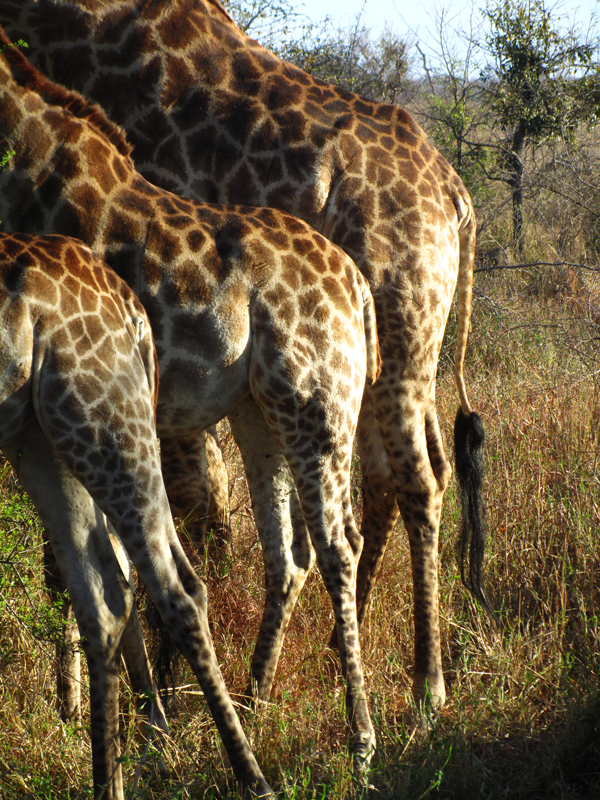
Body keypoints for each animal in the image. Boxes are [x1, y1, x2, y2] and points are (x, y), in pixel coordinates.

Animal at [0, 231, 272, 799]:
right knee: (107, 592)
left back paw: (250, 776)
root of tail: (131, 308)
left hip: (99, 416)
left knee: (174, 585)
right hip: (43, 434)